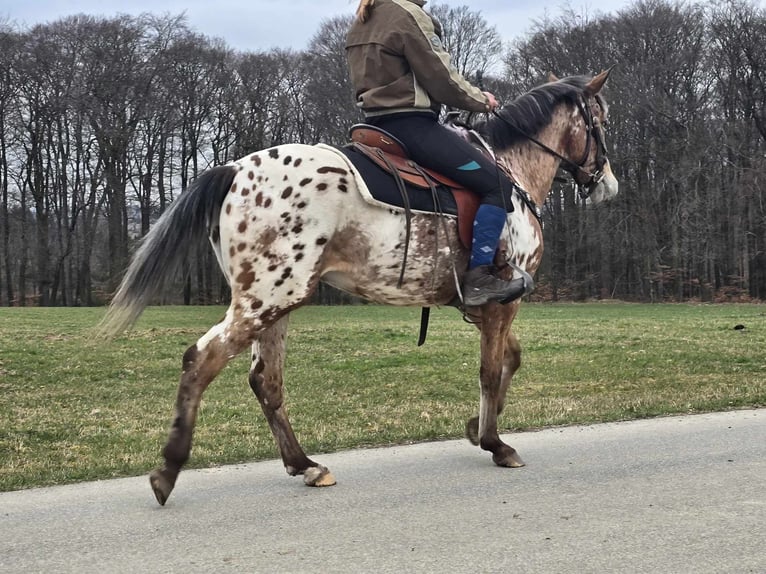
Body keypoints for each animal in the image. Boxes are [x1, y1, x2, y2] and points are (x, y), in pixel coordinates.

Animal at [102, 72, 620, 508]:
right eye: (601, 120)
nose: (608, 184)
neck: (512, 173)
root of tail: (234, 169)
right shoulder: (501, 305)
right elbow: (491, 371)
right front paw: (495, 442)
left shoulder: (493, 306)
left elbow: (510, 359)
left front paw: (477, 428)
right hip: (266, 300)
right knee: (202, 359)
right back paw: (168, 471)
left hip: (276, 303)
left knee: (265, 380)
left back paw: (305, 465)